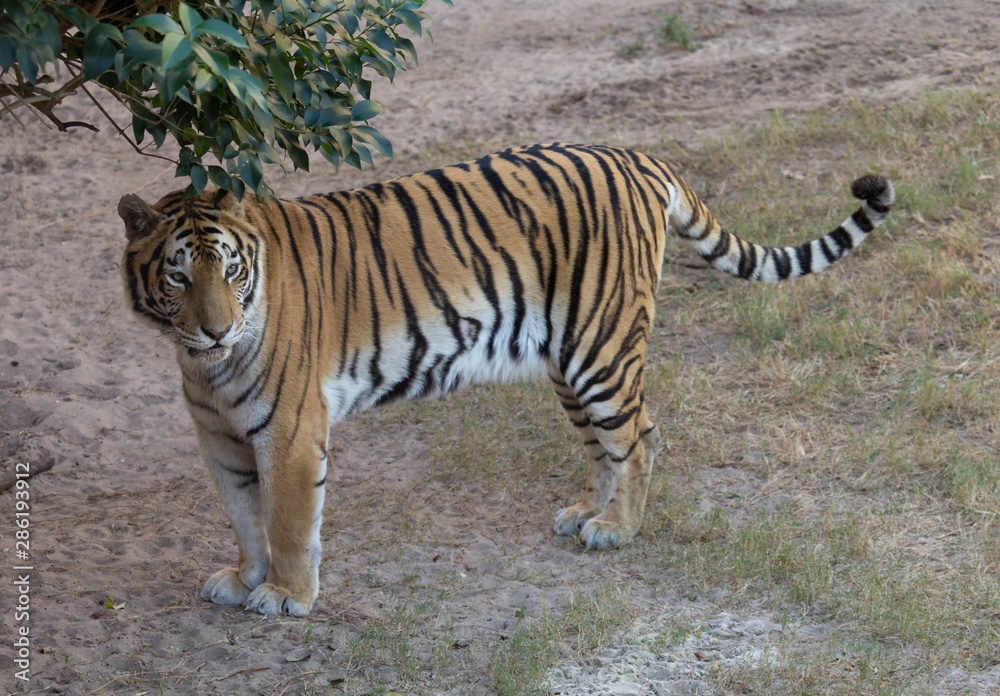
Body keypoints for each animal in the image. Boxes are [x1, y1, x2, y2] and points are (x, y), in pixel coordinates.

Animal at [118, 143, 894, 616]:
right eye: (180, 277)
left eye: (233, 271)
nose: (216, 329)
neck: (205, 365)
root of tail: (635, 155)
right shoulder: (220, 439)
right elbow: (244, 517)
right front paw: (245, 578)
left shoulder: (288, 432)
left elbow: (284, 519)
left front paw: (286, 595)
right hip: (569, 362)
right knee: (606, 445)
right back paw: (586, 514)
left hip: (602, 346)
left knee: (640, 433)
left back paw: (617, 530)